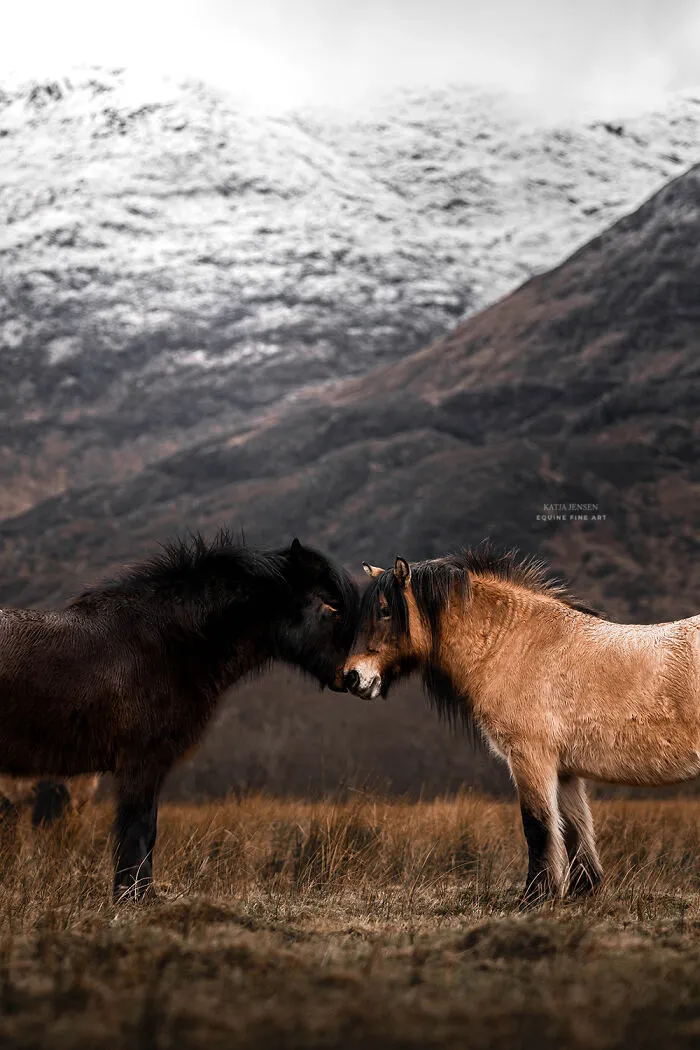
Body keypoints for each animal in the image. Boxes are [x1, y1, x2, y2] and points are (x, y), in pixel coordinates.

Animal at [0, 532, 358, 899]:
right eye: (331, 607)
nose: (355, 676)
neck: (164, 644)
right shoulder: (141, 766)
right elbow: (138, 831)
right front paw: (132, 896)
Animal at [343, 546, 700, 903]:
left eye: (385, 611)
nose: (352, 677)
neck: (517, 644)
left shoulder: (530, 758)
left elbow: (537, 825)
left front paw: (534, 896)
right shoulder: (564, 770)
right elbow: (576, 828)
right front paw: (581, 891)